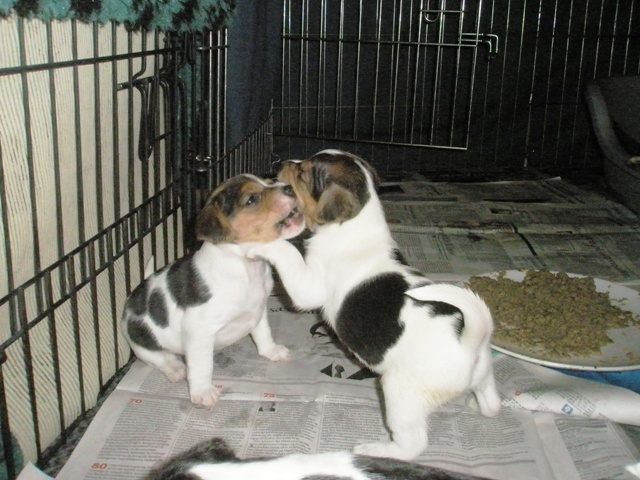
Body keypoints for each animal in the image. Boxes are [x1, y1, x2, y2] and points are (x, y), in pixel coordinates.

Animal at [123, 175, 308, 408]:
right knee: (160, 359)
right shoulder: (199, 332)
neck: (247, 268)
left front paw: (271, 351)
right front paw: (202, 392)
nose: (289, 188)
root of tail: (130, 301)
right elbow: (202, 366)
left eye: (269, 180)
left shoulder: (259, 311)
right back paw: (175, 369)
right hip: (141, 343)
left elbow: (264, 334)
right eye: (251, 199)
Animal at [248, 151, 502, 462]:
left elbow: (287, 253)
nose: (278, 164)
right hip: (484, 375)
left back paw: (374, 450)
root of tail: (468, 343)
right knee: (493, 405)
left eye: (303, 173)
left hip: (399, 393)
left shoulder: (308, 286)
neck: (355, 224)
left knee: (413, 443)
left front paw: (261, 243)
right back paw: (475, 404)